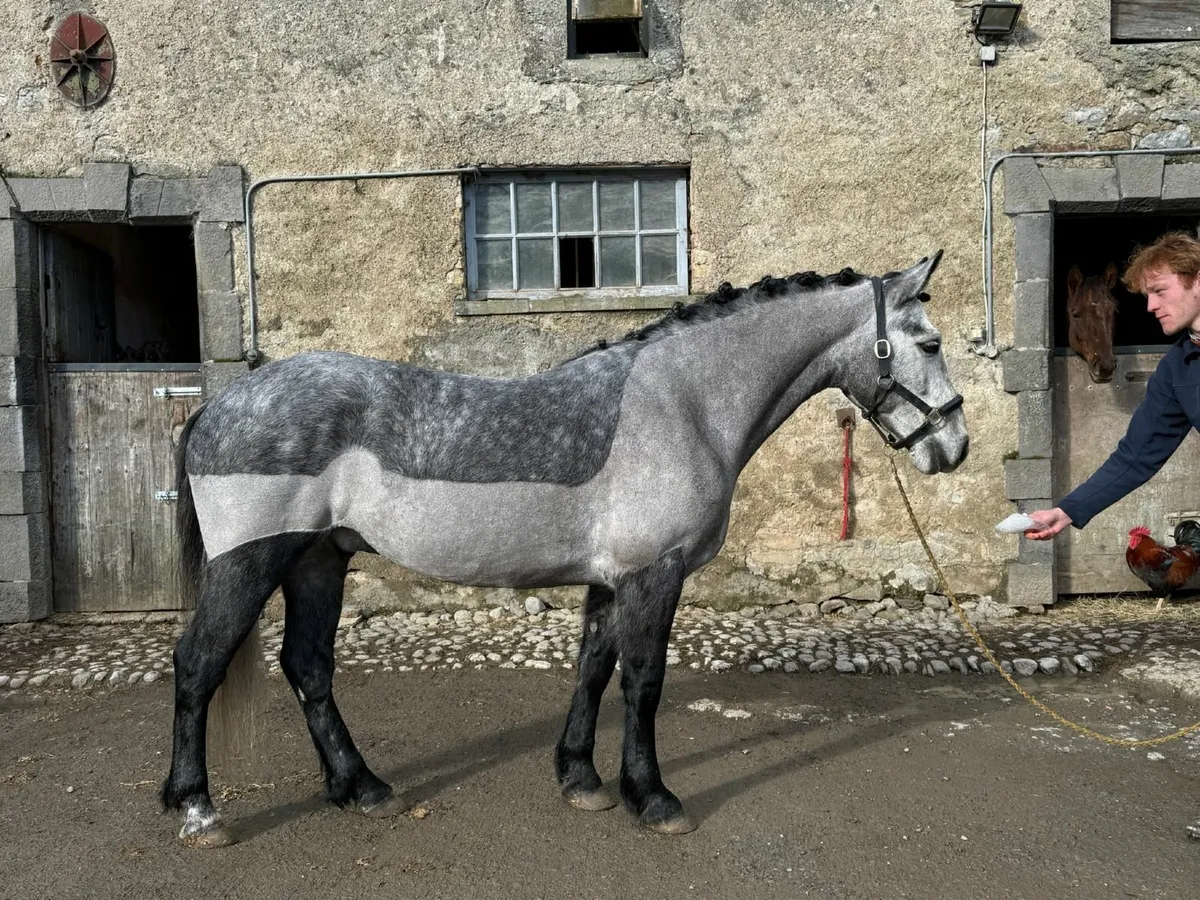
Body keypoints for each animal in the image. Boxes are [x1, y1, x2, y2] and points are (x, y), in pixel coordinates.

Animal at [161, 252, 969, 847]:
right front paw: (654, 797)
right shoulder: (653, 575)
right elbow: (643, 683)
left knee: (308, 666)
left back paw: (361, 788)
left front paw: (582, 780)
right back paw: (198, 810)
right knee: (199, 664)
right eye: (929, 343)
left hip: (318, 561)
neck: (683, 403)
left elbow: (593, 670)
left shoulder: (612, 579)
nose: (955, 446)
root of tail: (220, 406)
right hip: (251, 562)